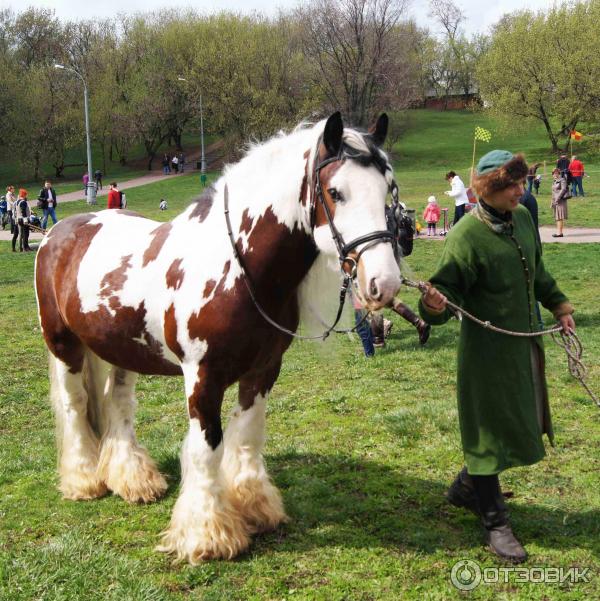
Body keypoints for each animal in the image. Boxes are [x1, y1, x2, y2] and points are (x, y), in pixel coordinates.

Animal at [32, 111, 398, 564]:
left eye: (388, 188)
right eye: (335, 192)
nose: (384, 282)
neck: (238, 269)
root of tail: (55, 235)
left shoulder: (263, 370)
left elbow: (247, 435)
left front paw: (255, 506)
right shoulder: (203, 377)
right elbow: (207, 446)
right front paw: (208, 534)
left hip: (121, 351)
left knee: (117, 404)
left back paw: (133, 479)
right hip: (64, 345)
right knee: (76, 405)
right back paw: (83, 480)